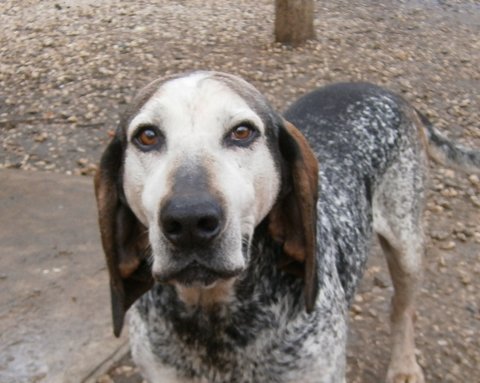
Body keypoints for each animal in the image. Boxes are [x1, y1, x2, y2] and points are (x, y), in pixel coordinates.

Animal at [94, 70, 480, 382]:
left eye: (242, 132)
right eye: (147, 136)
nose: (189, 220)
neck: (213, 315)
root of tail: (389, 92)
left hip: (407, 248)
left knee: (402, 310)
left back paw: (404, 367)